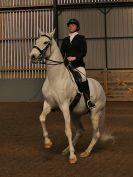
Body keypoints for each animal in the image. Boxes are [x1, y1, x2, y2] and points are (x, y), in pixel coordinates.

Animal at [29, 29, 112, 163]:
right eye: (36, 40)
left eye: (46, 42)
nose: (32, 56)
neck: (55, 78)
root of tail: (99, 87)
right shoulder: (48, 104)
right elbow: (41, 118)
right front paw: (48, 143)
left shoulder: (64, 106)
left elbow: (67, 131)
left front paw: (73, 157)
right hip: (75, 114)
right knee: (80, 131)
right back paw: (66, 150)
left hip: (94, 114)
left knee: (96, 134)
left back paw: (85, 152)